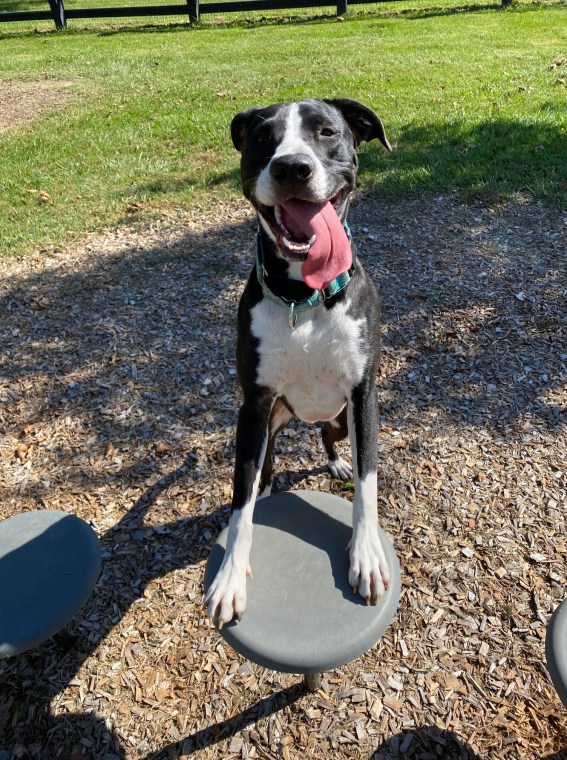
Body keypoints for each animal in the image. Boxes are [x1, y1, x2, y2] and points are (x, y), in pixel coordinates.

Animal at [205, 98, 392, 628]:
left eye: (327, 132)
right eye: (261, 139)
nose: (292, 167)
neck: (301, 298)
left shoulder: (363, 395)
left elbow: (368, 483)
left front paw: (365, 555)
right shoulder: (253, 406)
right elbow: (241, 497)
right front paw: (230, 577)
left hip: (341, 417)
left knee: (332, 439)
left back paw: (336, 462)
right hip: (272, 420)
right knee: (265, 467)